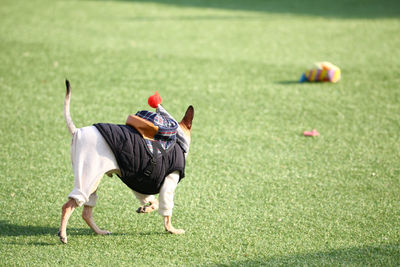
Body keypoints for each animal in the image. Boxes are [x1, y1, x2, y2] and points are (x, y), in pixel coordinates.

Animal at [59, 80, 194, 245]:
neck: (177, 141)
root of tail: (77, 131)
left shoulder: (140, 184)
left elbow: (151, 200)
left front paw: (146, 208)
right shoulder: (168, 184)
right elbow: (166, 212)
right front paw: (171, 229)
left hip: (93, 179)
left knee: (86, 212)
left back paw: (100, 231)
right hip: (88, 176)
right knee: (68, 206)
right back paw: (63, 235)